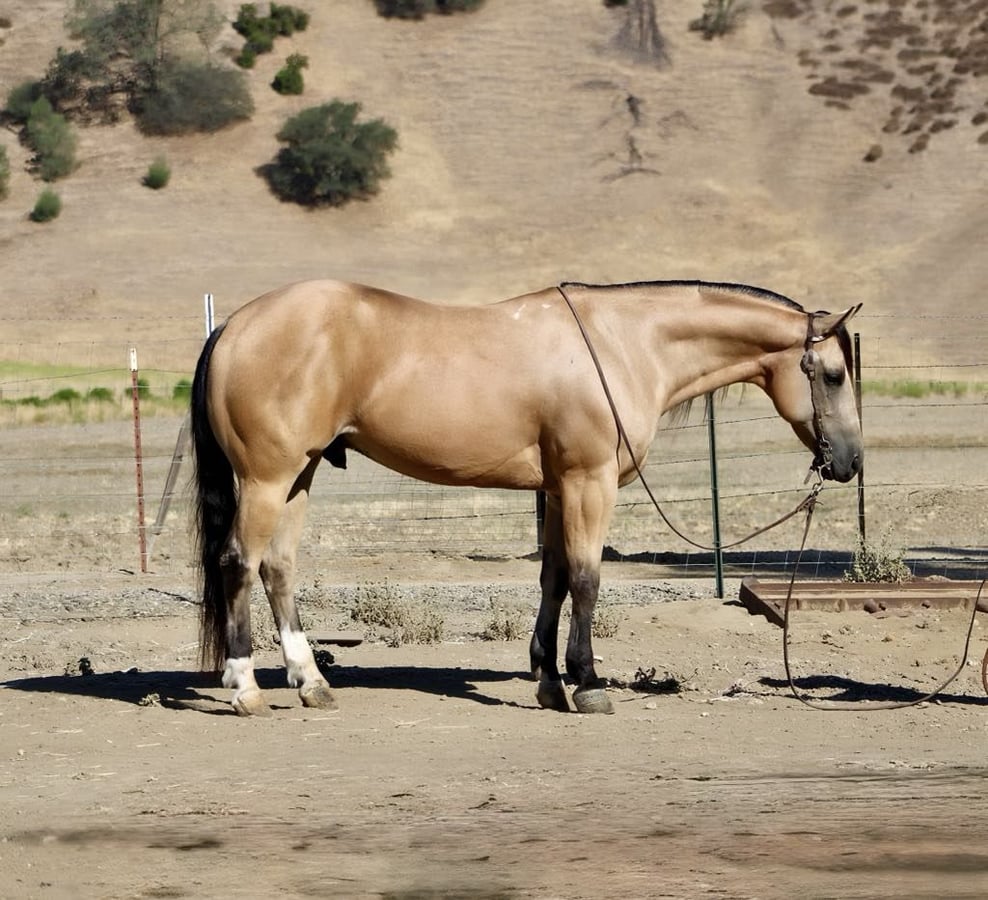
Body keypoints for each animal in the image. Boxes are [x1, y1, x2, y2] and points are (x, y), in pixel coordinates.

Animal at [191, 279, 863, 717]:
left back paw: (311, 683)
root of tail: (235, 325)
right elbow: (587, 580)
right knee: (239, 564)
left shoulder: (560, 489)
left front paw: (549, 682)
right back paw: (246, 688)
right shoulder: (588, 484)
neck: (622, 345)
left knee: (278, 569)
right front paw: (587, 684)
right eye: (833, 375)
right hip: (268, 479)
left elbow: (555, 580)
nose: (851, 462)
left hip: (299, 476)